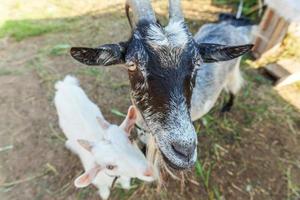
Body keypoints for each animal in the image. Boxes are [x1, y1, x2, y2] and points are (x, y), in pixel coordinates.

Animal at [69, 0, 252, 170]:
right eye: (132, 64)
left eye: (197, 64)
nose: (184, 151)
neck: (145, 127)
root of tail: (232, 26)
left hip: (233, 73)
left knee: (235, 88)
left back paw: (227, 107)